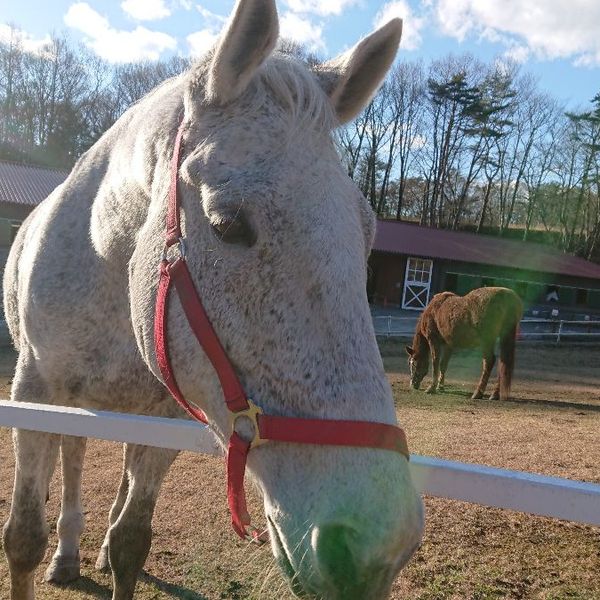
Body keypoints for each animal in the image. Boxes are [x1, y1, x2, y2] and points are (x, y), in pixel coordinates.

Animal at [1, 1, 422, 600]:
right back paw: (68, 553)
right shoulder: (34, 391)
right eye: (228, 224)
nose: (373, 547)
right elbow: (23, 537)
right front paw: (50, 547)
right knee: (75, 460)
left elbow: (132, 539)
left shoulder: (170, 414)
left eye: (367, 235)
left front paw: (114, 549)